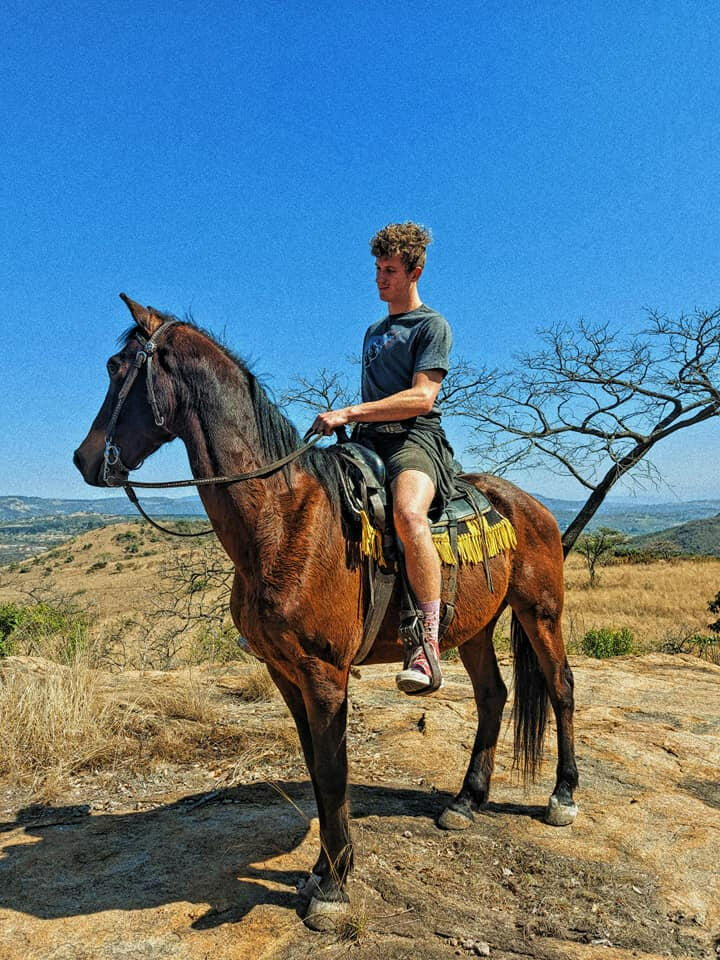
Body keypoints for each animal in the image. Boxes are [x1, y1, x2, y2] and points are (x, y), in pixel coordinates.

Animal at [74, 295, 578, 931]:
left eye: (117, 369)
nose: (84, 459)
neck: (283, 518)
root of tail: (532, 504)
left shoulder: (324, 673)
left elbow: (335, 771)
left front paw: (334, 887)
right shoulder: (283, 672)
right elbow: (317, 768)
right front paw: (321, 869)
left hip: (540, 612)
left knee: (560, 687)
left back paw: (563, 796)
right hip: (475, 629)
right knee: (493, 696)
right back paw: (466, 800)